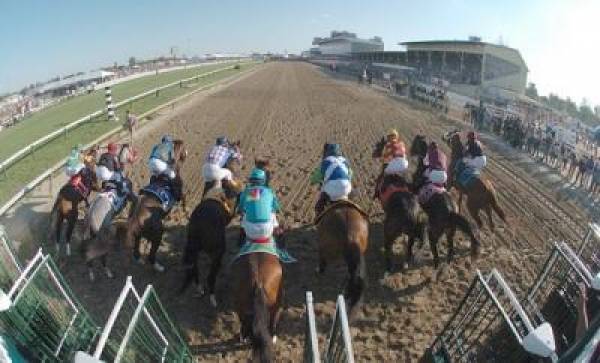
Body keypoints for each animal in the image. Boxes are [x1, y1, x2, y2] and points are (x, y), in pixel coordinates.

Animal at [123, 141, 186, 272]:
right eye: (183, 148)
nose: (186, 152)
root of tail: (135, 221)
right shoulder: (180, 194)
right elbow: (184, 200)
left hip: (137, 236)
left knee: (136, 252)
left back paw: (140, 260)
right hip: (157, 234)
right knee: (151, 255)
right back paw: (159, 267)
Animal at [410, 135, 480, 268]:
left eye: (415, 142)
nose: (410, 151)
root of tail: (451, 212)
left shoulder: (414, 191)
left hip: (436, 231)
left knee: (434, 246)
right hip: (450, 232)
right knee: (450, 249)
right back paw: (446, 264)